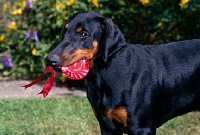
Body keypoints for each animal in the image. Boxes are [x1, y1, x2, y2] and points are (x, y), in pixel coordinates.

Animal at [45, 11, 200, 134]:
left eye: (83, 34)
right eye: (64, 31)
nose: (50, 59)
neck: (102, 77)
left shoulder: (142, 128)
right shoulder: (107, 126)